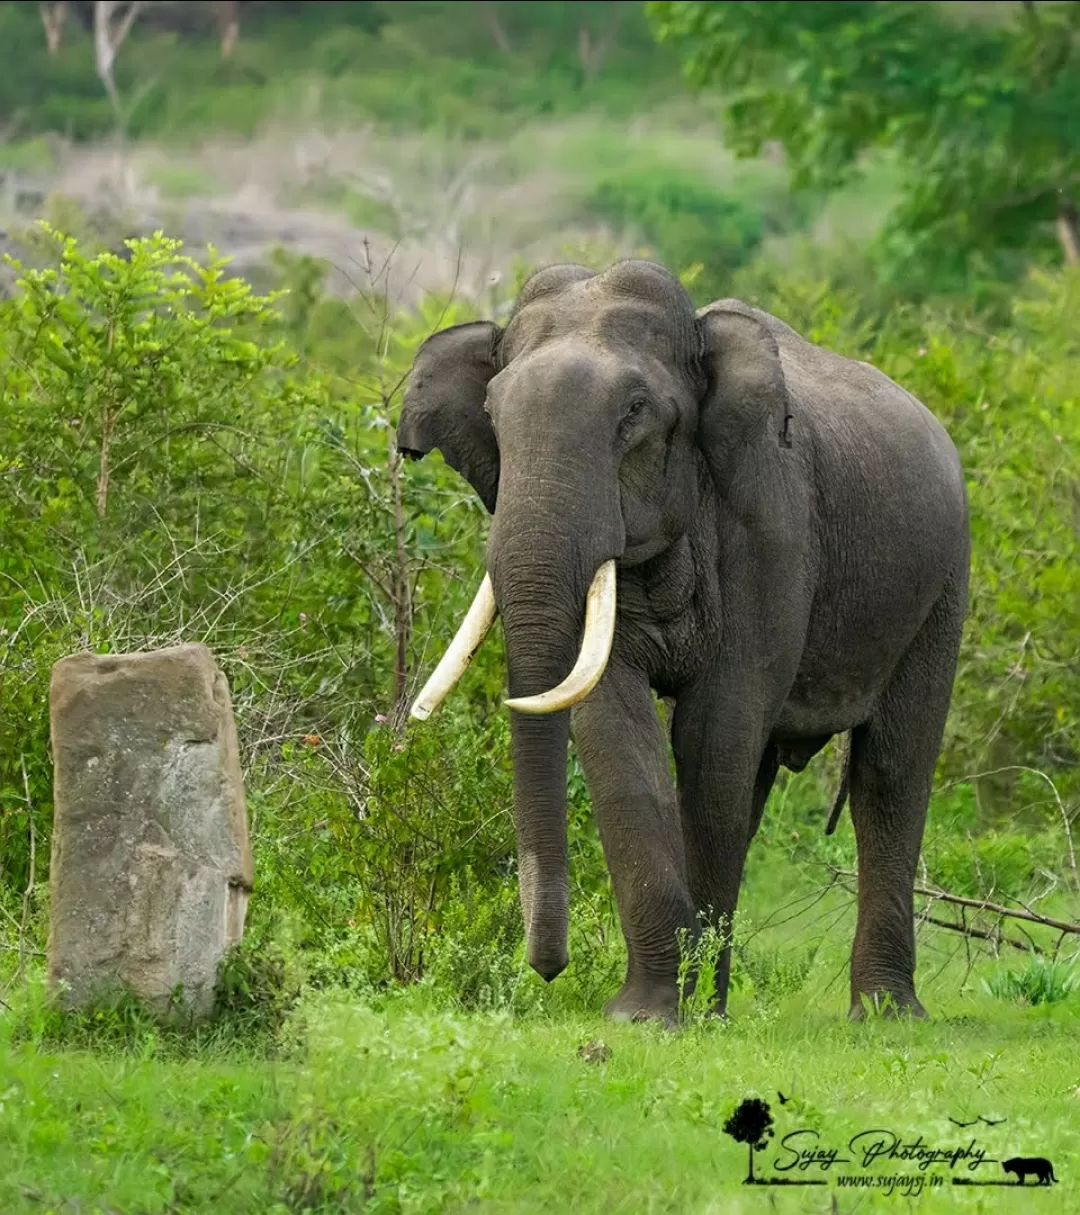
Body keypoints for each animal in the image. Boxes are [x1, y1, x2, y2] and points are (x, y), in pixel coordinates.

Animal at [396, 258, 967, 1025]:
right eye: (492, 414)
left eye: (634, 412)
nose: (545, 968)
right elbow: (617, 726)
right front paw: (648, 1015)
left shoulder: (774, 524)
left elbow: (715, 729)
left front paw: (677, 1015)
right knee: (763, 783)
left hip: (944, 581)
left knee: (890, 773)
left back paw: (883, 1014)